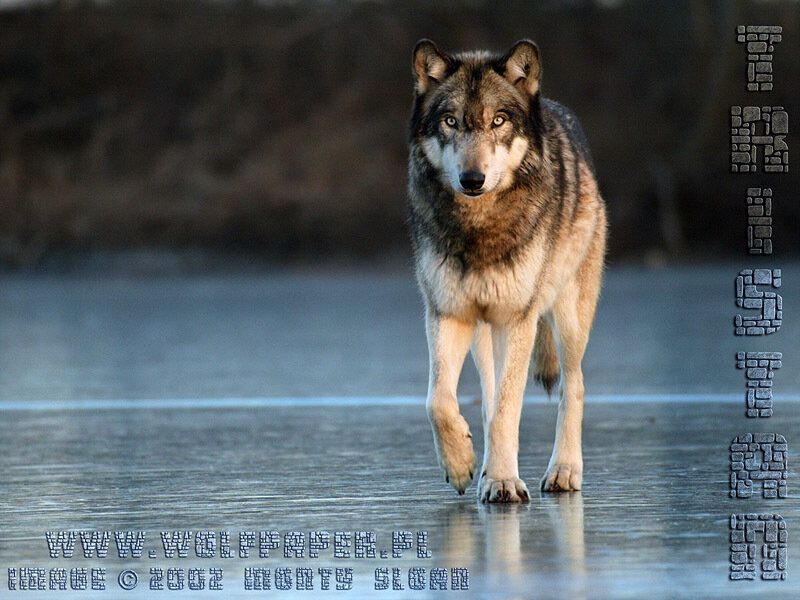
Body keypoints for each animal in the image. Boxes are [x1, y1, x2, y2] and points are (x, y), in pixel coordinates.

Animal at [408, 39, 607, 502]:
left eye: (498, 120)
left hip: (565, 318)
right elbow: (439, 401)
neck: (480, 227)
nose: (472, 179)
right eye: (450, 121)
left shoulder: (519, 318)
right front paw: (462, 465)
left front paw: (502, 481)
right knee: (485, 394)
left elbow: (506, 410)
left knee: (574, 387)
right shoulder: (447, 314)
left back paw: (564, 471)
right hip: (484, 333)